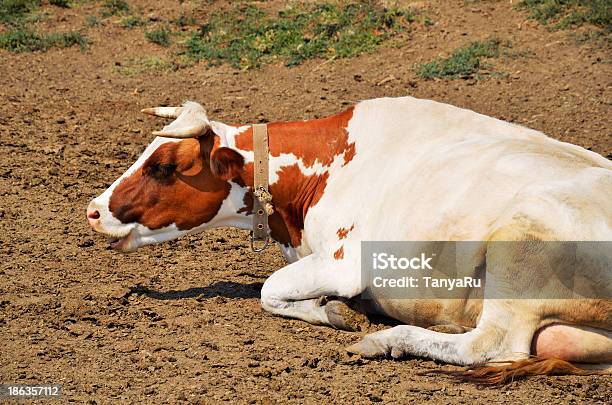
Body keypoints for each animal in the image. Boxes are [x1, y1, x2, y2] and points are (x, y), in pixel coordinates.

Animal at [87, 96, 612, 380]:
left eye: (163, 166)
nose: (92, 211)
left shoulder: (344, 262)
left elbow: (268, 290)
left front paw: (336, 313)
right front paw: (336, 310)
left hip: (521, 246)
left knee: (491, 345)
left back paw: (384, 341)